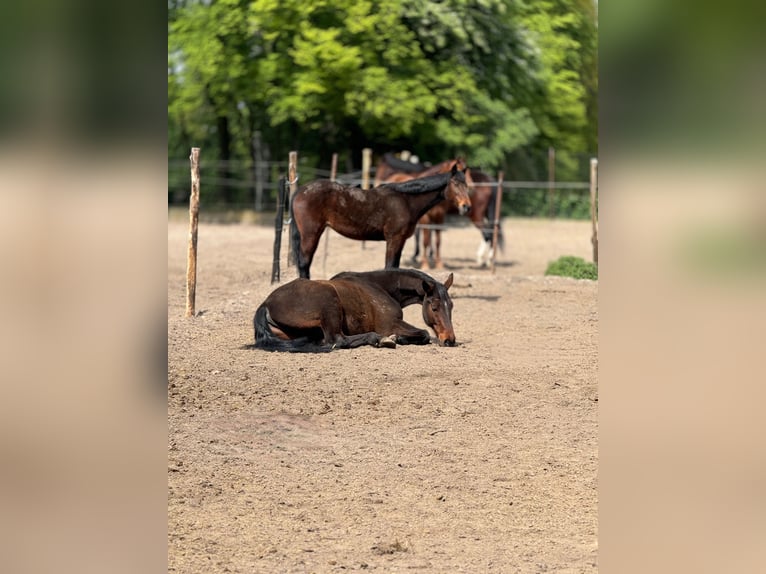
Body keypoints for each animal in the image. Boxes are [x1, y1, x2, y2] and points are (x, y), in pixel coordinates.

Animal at [252, 268, 460, 352]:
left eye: (451, 306)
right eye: (434, 307)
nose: (449, 340)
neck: (380, 287)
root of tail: (266, 304)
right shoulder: (390, 324)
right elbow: (424, 333)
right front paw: (398, 338)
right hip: (329, 302)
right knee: (338, 340)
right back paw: (381, 340)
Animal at [292, 164, 472, 280]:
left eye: (466, 184)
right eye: (455, 183)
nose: (466, 206)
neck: (406, 201)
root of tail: (300, 191)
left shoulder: (400, 240)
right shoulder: (394, 238)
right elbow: (390, 266)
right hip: (311, 234)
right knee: (304, 263)